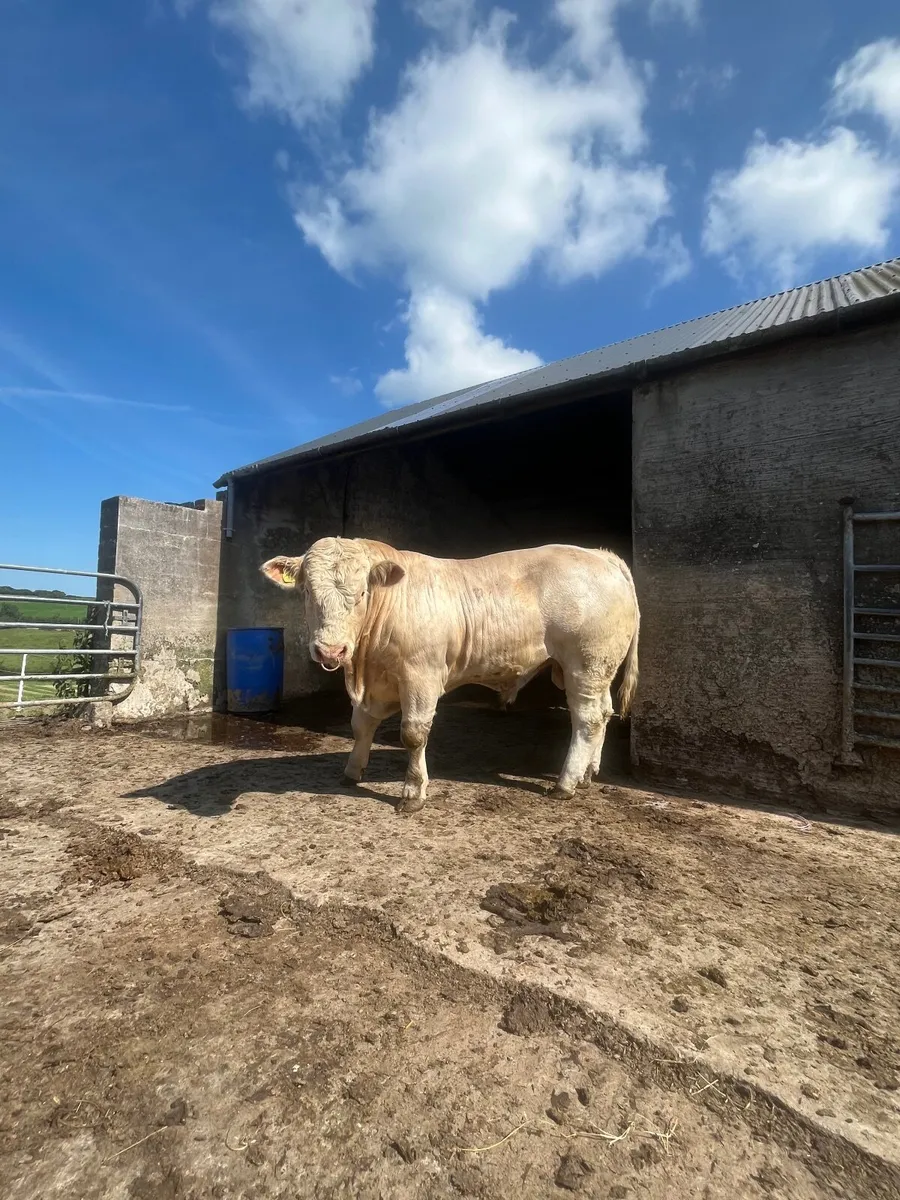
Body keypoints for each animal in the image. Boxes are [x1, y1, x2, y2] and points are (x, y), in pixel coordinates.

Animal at [261, 537, 639, 815]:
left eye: (362, 593)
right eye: (306, 591)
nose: (331, 651)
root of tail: (599, 555)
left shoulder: (421, 675)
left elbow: (413, 734)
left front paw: (413, 792)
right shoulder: (375, 685)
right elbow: (361, 725)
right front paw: (352, 772)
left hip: (585, 663)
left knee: (587, 719)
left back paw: (566, 783)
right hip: (595, 669)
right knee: (602, 713)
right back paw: (588, 773)